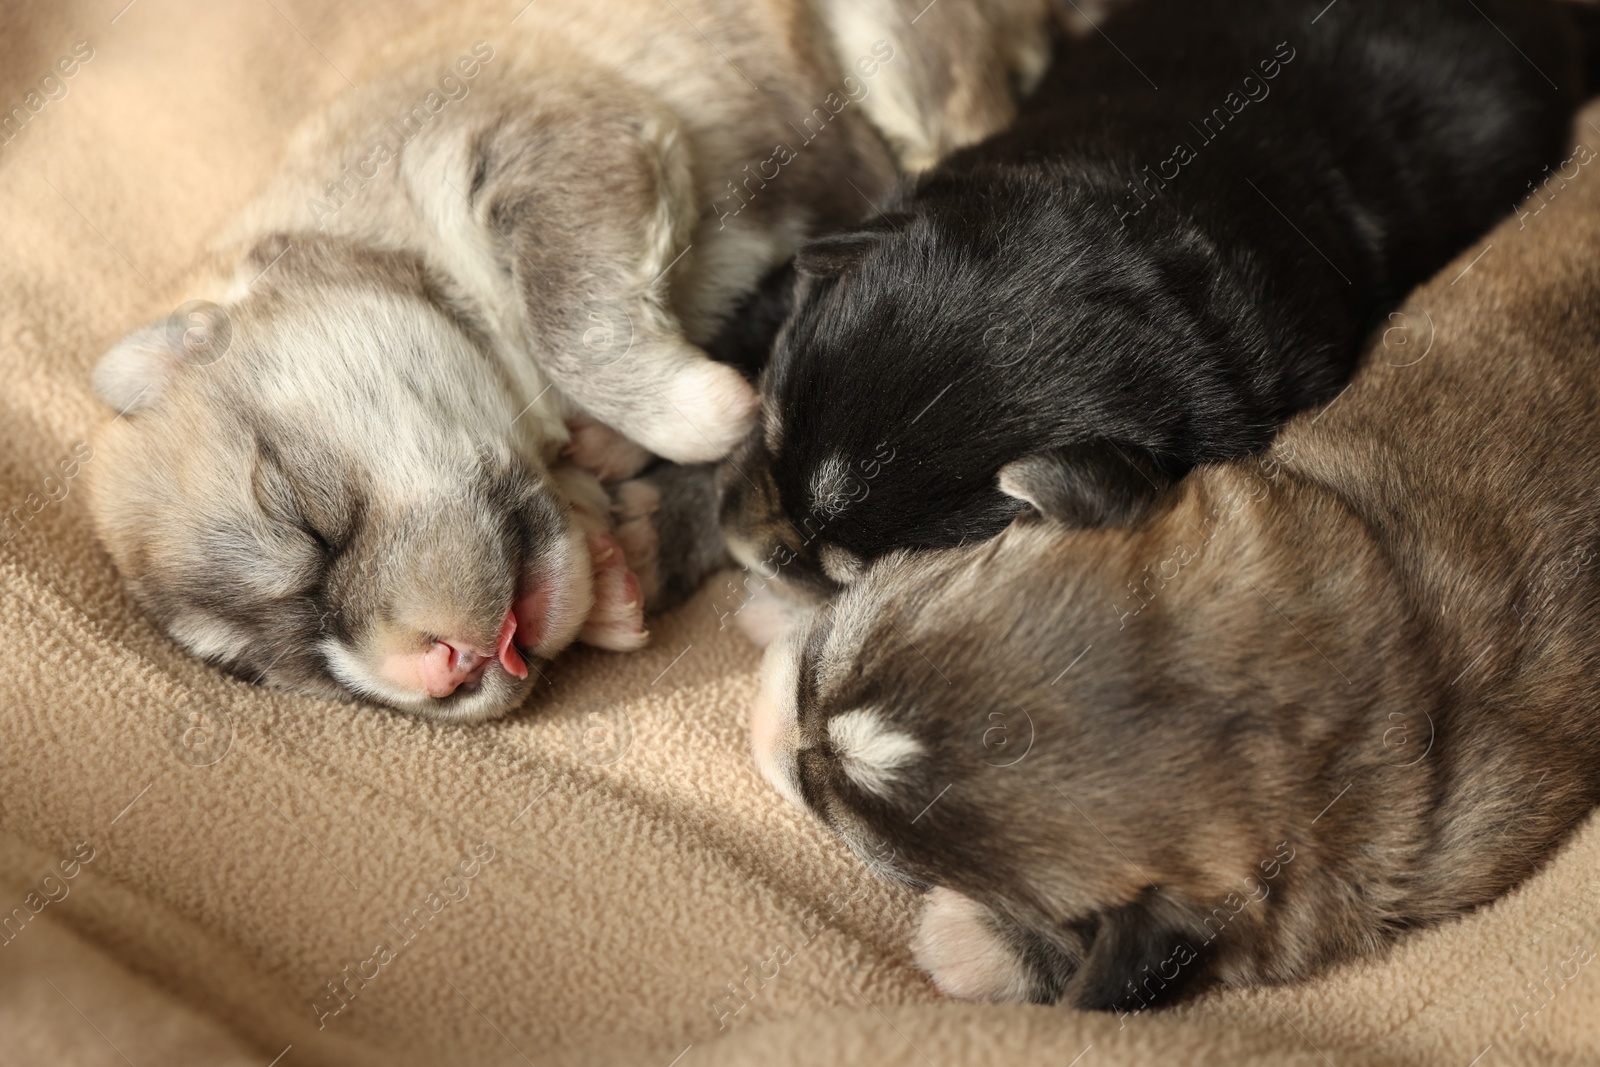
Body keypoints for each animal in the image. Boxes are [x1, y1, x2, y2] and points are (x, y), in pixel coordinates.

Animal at [90, 0, 1062, 726]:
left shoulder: (544, 145)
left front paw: (698, 410)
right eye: (292, 671)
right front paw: (612, 548)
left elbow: (570, 312)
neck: (365, 230)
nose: (437, 676)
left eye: (303, 519)